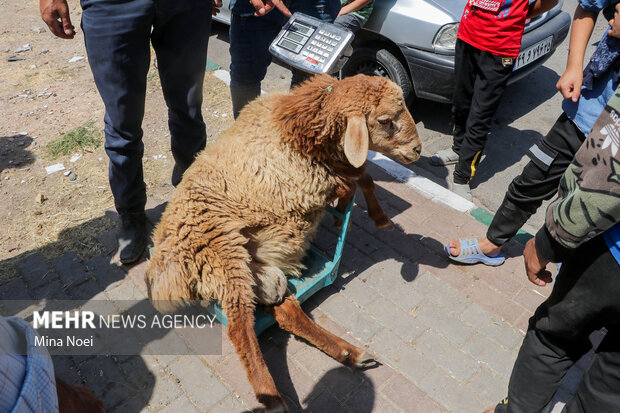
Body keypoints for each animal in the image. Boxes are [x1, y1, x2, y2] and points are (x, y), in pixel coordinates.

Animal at [145, 74, 422, 412]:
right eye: (385, 120)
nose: (418, 150)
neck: (298, 128)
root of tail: (165, 263)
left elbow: (362, 176)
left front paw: (356, 213)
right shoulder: (317, 180)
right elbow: (362, 176)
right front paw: (378, 217)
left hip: (265, 274)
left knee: (285, 312)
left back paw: (350, 353)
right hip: (223, 253)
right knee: (240, 327)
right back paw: (273, 397)